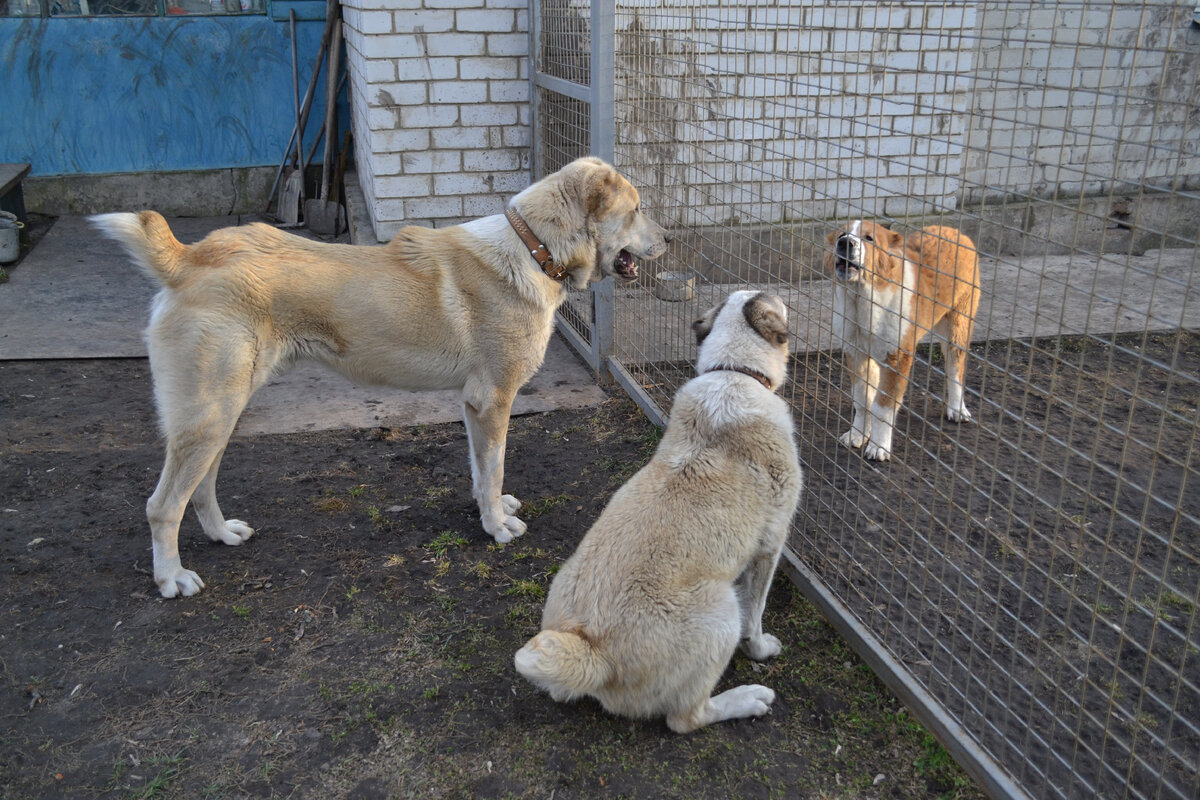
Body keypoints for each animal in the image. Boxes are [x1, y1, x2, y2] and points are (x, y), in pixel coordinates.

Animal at [91, 155, 676, 597]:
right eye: (637, 211)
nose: (670, 239)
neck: (535, 251)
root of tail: (190, 258)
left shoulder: (472, 405)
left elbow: (481, 470)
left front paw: (488, 510)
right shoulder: (494, 400)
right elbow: (494, 469)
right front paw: (496, 528)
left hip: (223, 412)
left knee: (202, 486)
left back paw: (221, 534)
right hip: (208, 415)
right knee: (163, 505)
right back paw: (171, 578)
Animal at [513, 292, 801, 734]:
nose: (785, 296)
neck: (734, 372)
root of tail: (594, 652)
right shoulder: (770, 545)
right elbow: (757, 613)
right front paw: (761, 649)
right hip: (722, 611)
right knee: (685, 717)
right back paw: (745, 699)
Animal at [825, 220, 984, 462]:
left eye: (869, 238)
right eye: (841, 234)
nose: (846, 243)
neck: (863, 300)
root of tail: (957, 232)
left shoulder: (897, 358)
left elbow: (883, 407)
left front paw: (878, 446)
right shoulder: (856, 353)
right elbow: (862, 399)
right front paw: (858, 434)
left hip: (957, 326)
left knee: (955, 368)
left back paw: (957, 408)